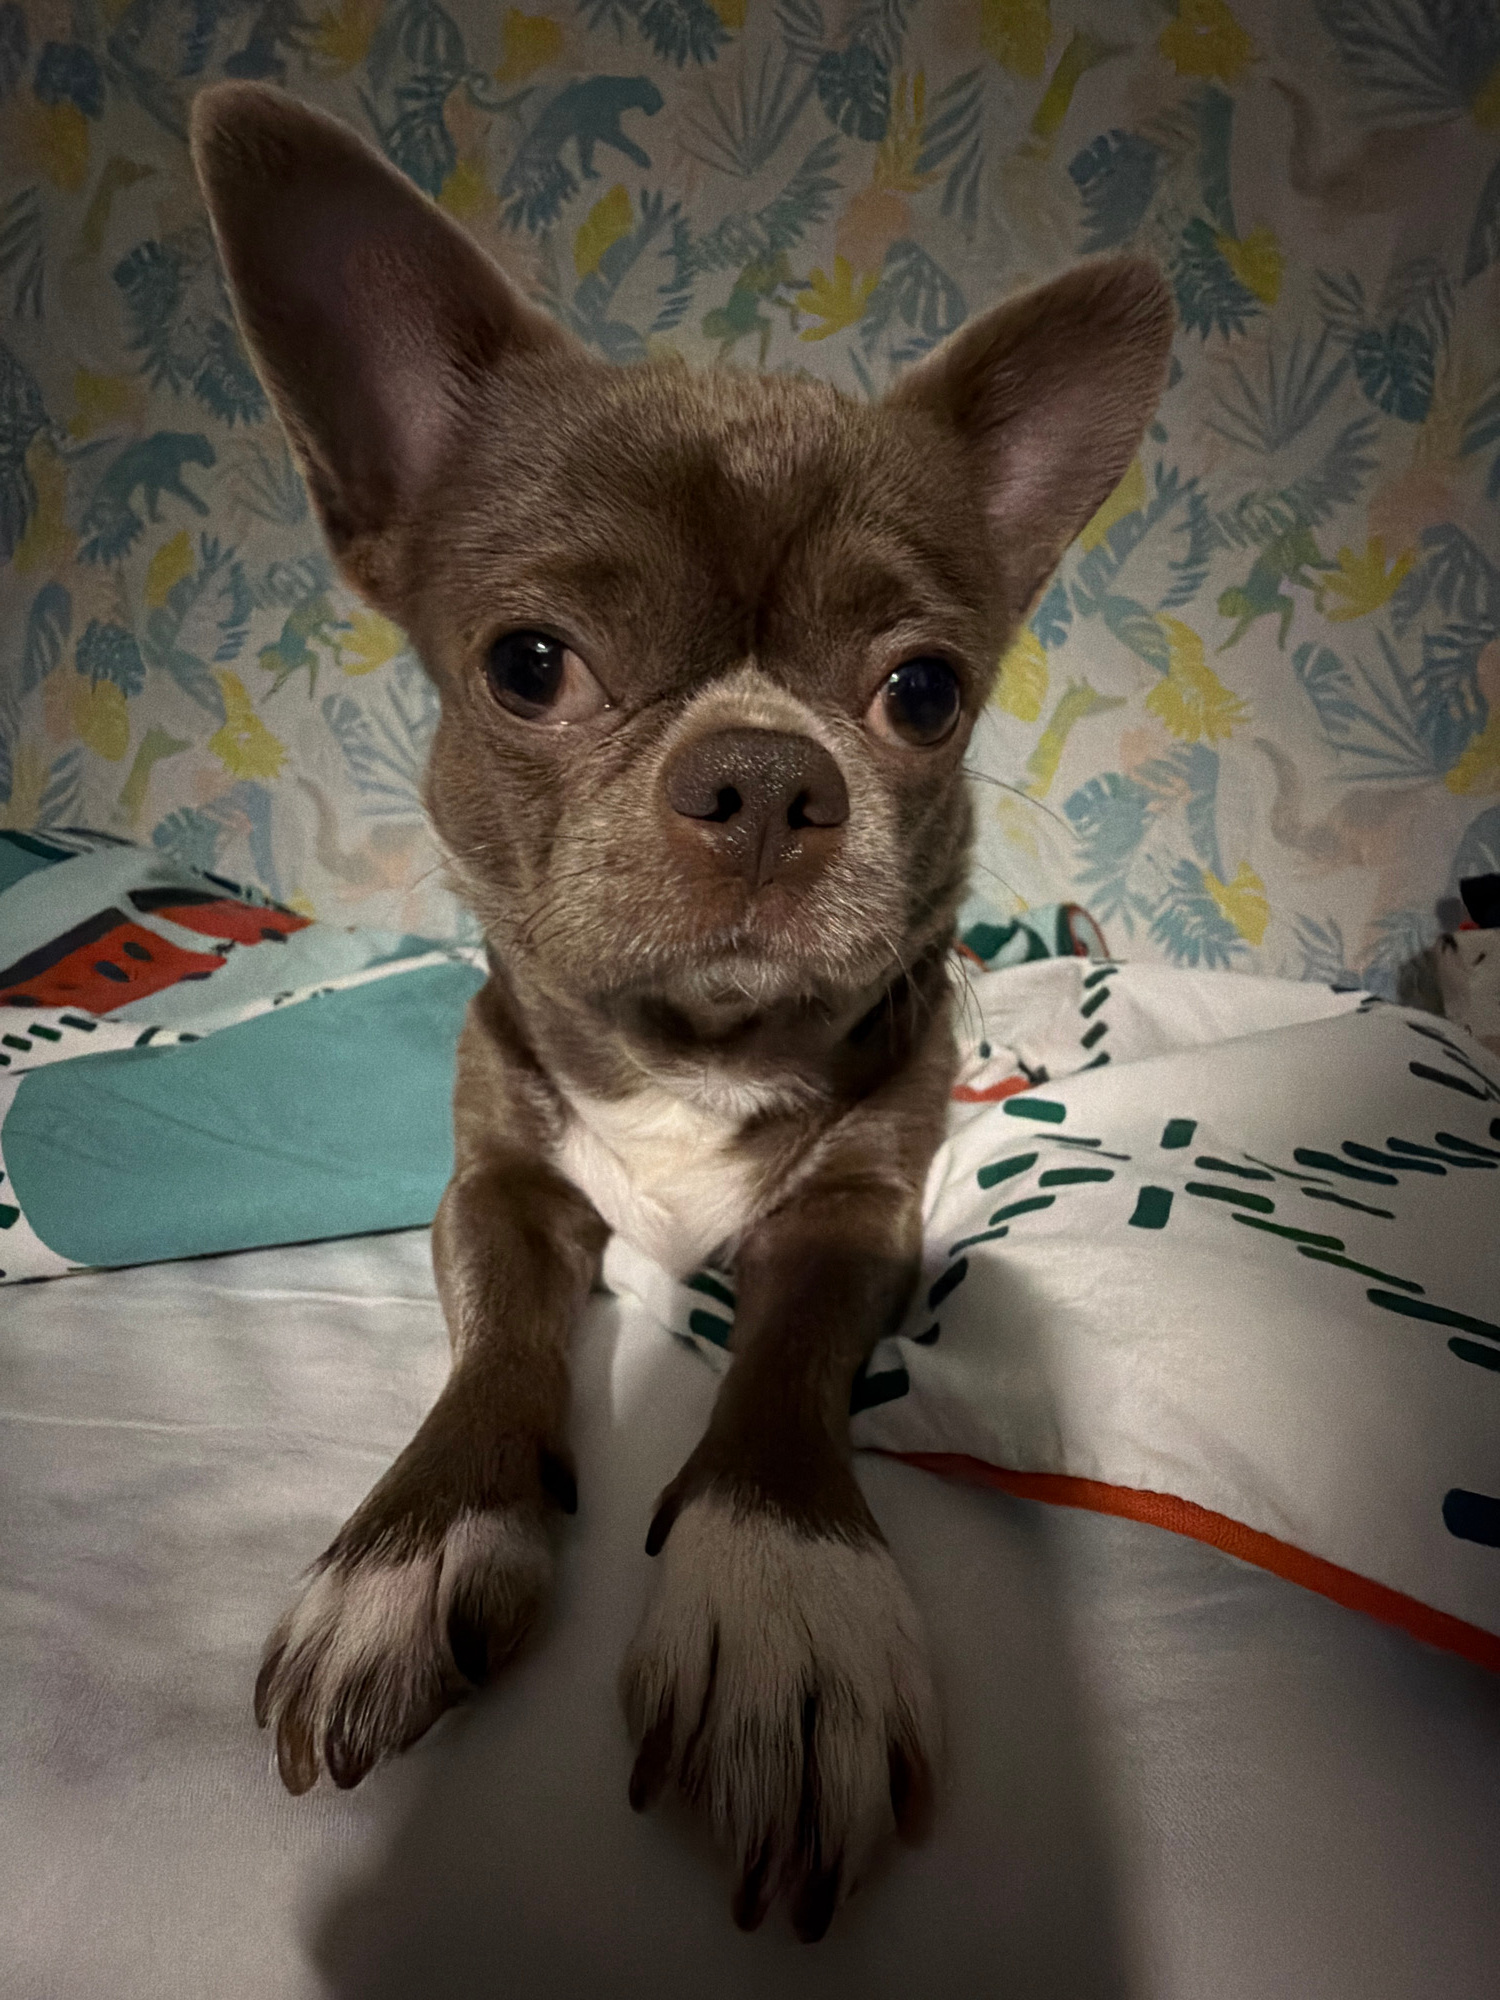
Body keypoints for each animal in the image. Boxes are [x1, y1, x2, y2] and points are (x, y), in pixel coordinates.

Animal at [191, 81, 1173, 1941]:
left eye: (923, 694)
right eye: (529, 664)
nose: (767, 772)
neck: (689, 1046)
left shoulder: (854, 1217)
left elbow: (781, 1373)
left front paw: (779, 1601)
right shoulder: (496, 1193)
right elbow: (495, 1346)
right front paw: (413, 1540)